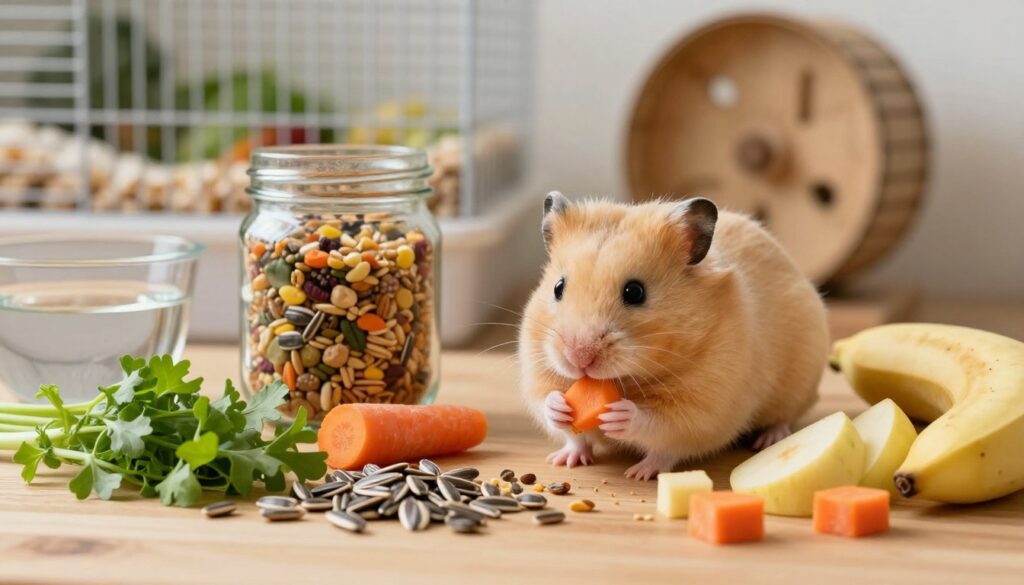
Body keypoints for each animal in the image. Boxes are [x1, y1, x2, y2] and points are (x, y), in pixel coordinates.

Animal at [518, 192, 829, 480]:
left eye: (635, 292)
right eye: (558, 287)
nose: (578, 357)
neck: (626, 381)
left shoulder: (704, 407)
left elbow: (661, 430)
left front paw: (624, 421)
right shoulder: (537, 372)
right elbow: (556, 416)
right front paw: (560, 415)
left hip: (800, 380)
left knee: (784, 416)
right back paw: (565, 459)